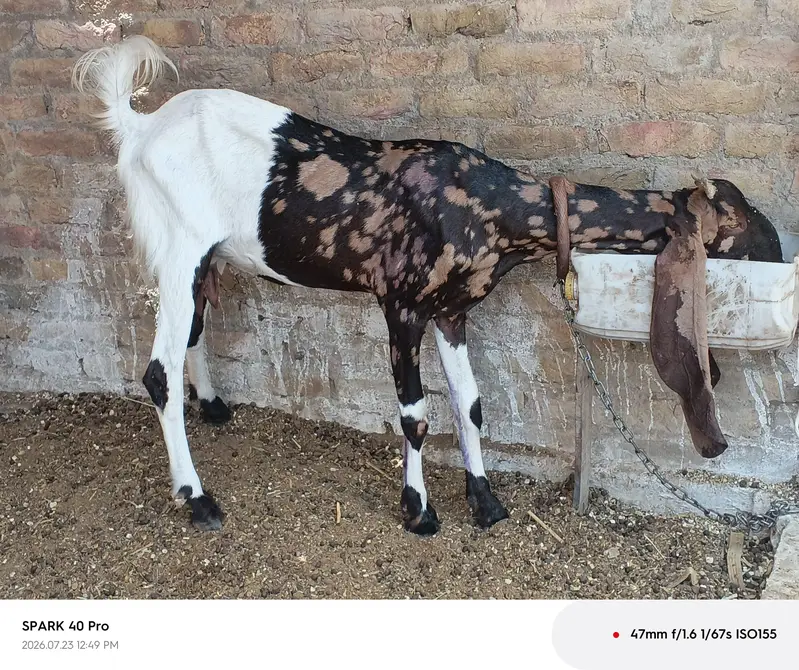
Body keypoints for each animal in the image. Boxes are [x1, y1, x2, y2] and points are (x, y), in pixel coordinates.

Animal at [73, 36, 783, 535]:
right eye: (746, 225)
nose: (782, 256)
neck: (491, 204)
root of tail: (139, 128)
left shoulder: (454, 309)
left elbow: (470, 402)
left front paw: (485, 500)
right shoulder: (402, 303)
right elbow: (415, 413)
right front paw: (419, 510)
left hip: (203, 257)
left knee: (191, 333)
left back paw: (216, 408)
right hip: (178, 247)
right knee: (156, 372)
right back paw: (198, 499)